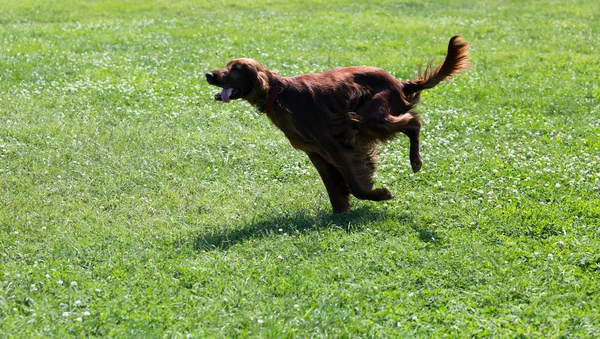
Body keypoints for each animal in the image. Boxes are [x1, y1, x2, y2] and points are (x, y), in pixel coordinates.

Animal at [206, 35, 468, 214]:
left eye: (235, 69)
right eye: (227, 66)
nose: (209, 75)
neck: (280, 95)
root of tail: (398, 82)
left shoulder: (335, 144)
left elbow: (354, 183)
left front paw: (379, 195)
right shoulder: (315, 152)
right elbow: (333, 185)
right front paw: (339, 213)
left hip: (369, 118)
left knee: (413, 123)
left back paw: (416, 161)